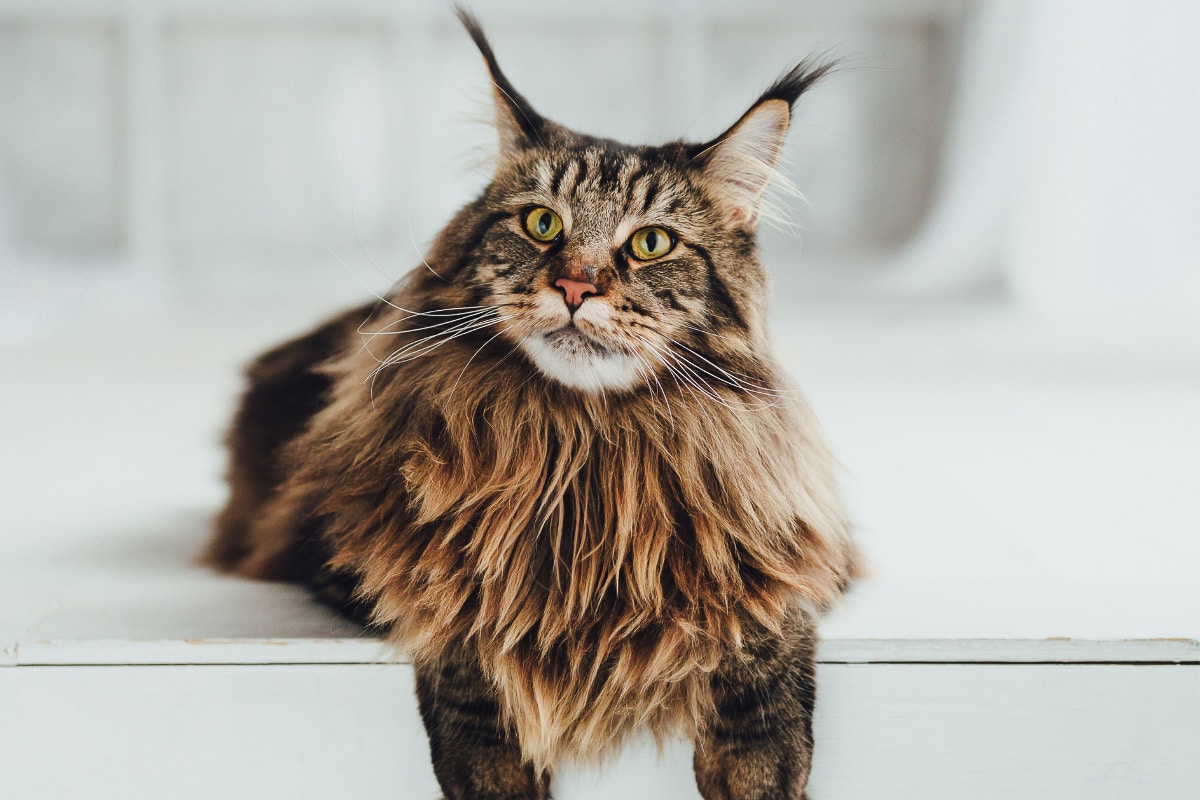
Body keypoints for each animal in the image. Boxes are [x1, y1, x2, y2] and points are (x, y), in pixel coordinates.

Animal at [208, 7, 854, 800]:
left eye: (650, 243)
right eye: (542, 225)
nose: (575, 287)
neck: (584, 444)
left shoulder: (794, 543)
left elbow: (764, 628)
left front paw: (760, 769)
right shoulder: (370, 550)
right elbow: (467, 618)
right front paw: (498, 778)